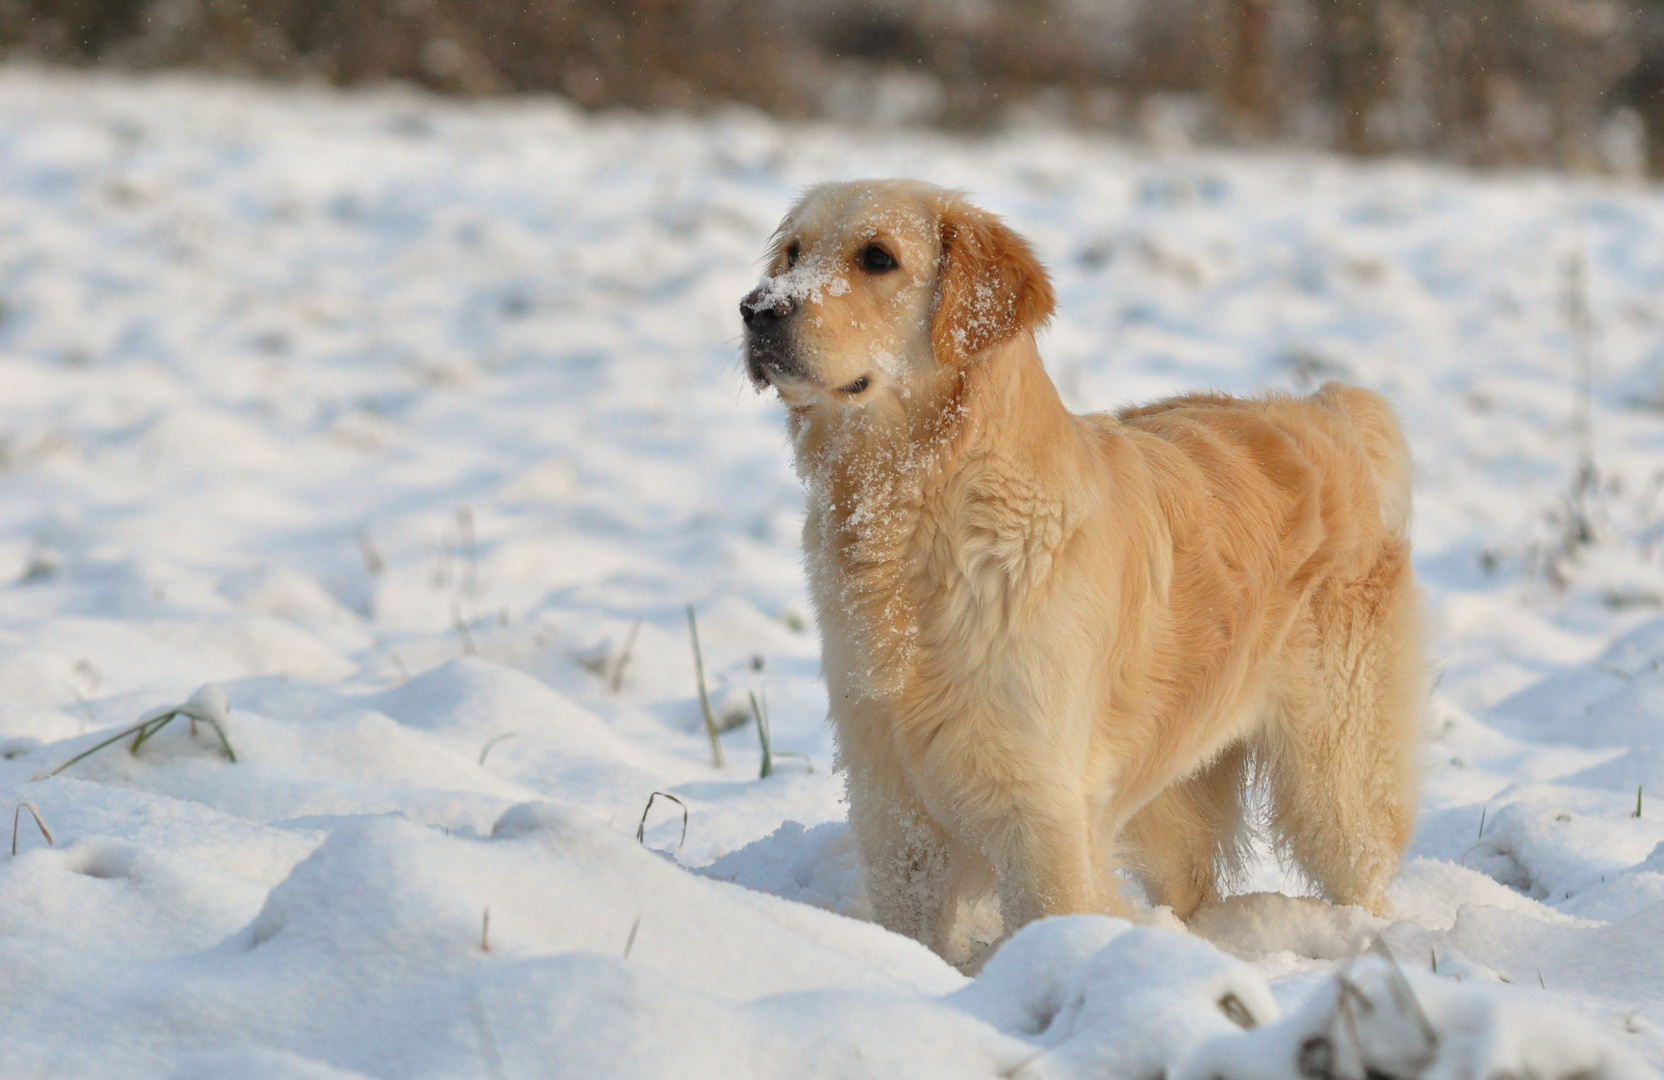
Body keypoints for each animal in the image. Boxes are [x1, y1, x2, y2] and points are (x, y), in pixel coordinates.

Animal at [748, 177, 1424, 958]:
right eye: (793, 253)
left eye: (877, 257)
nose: (757, 309)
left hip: (1336, 782)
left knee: (1363, 875)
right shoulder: (894, 813)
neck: (923, 515)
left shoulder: (1039, 813)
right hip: (1170, 793)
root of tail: (1324, 411)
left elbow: (1053, 919)